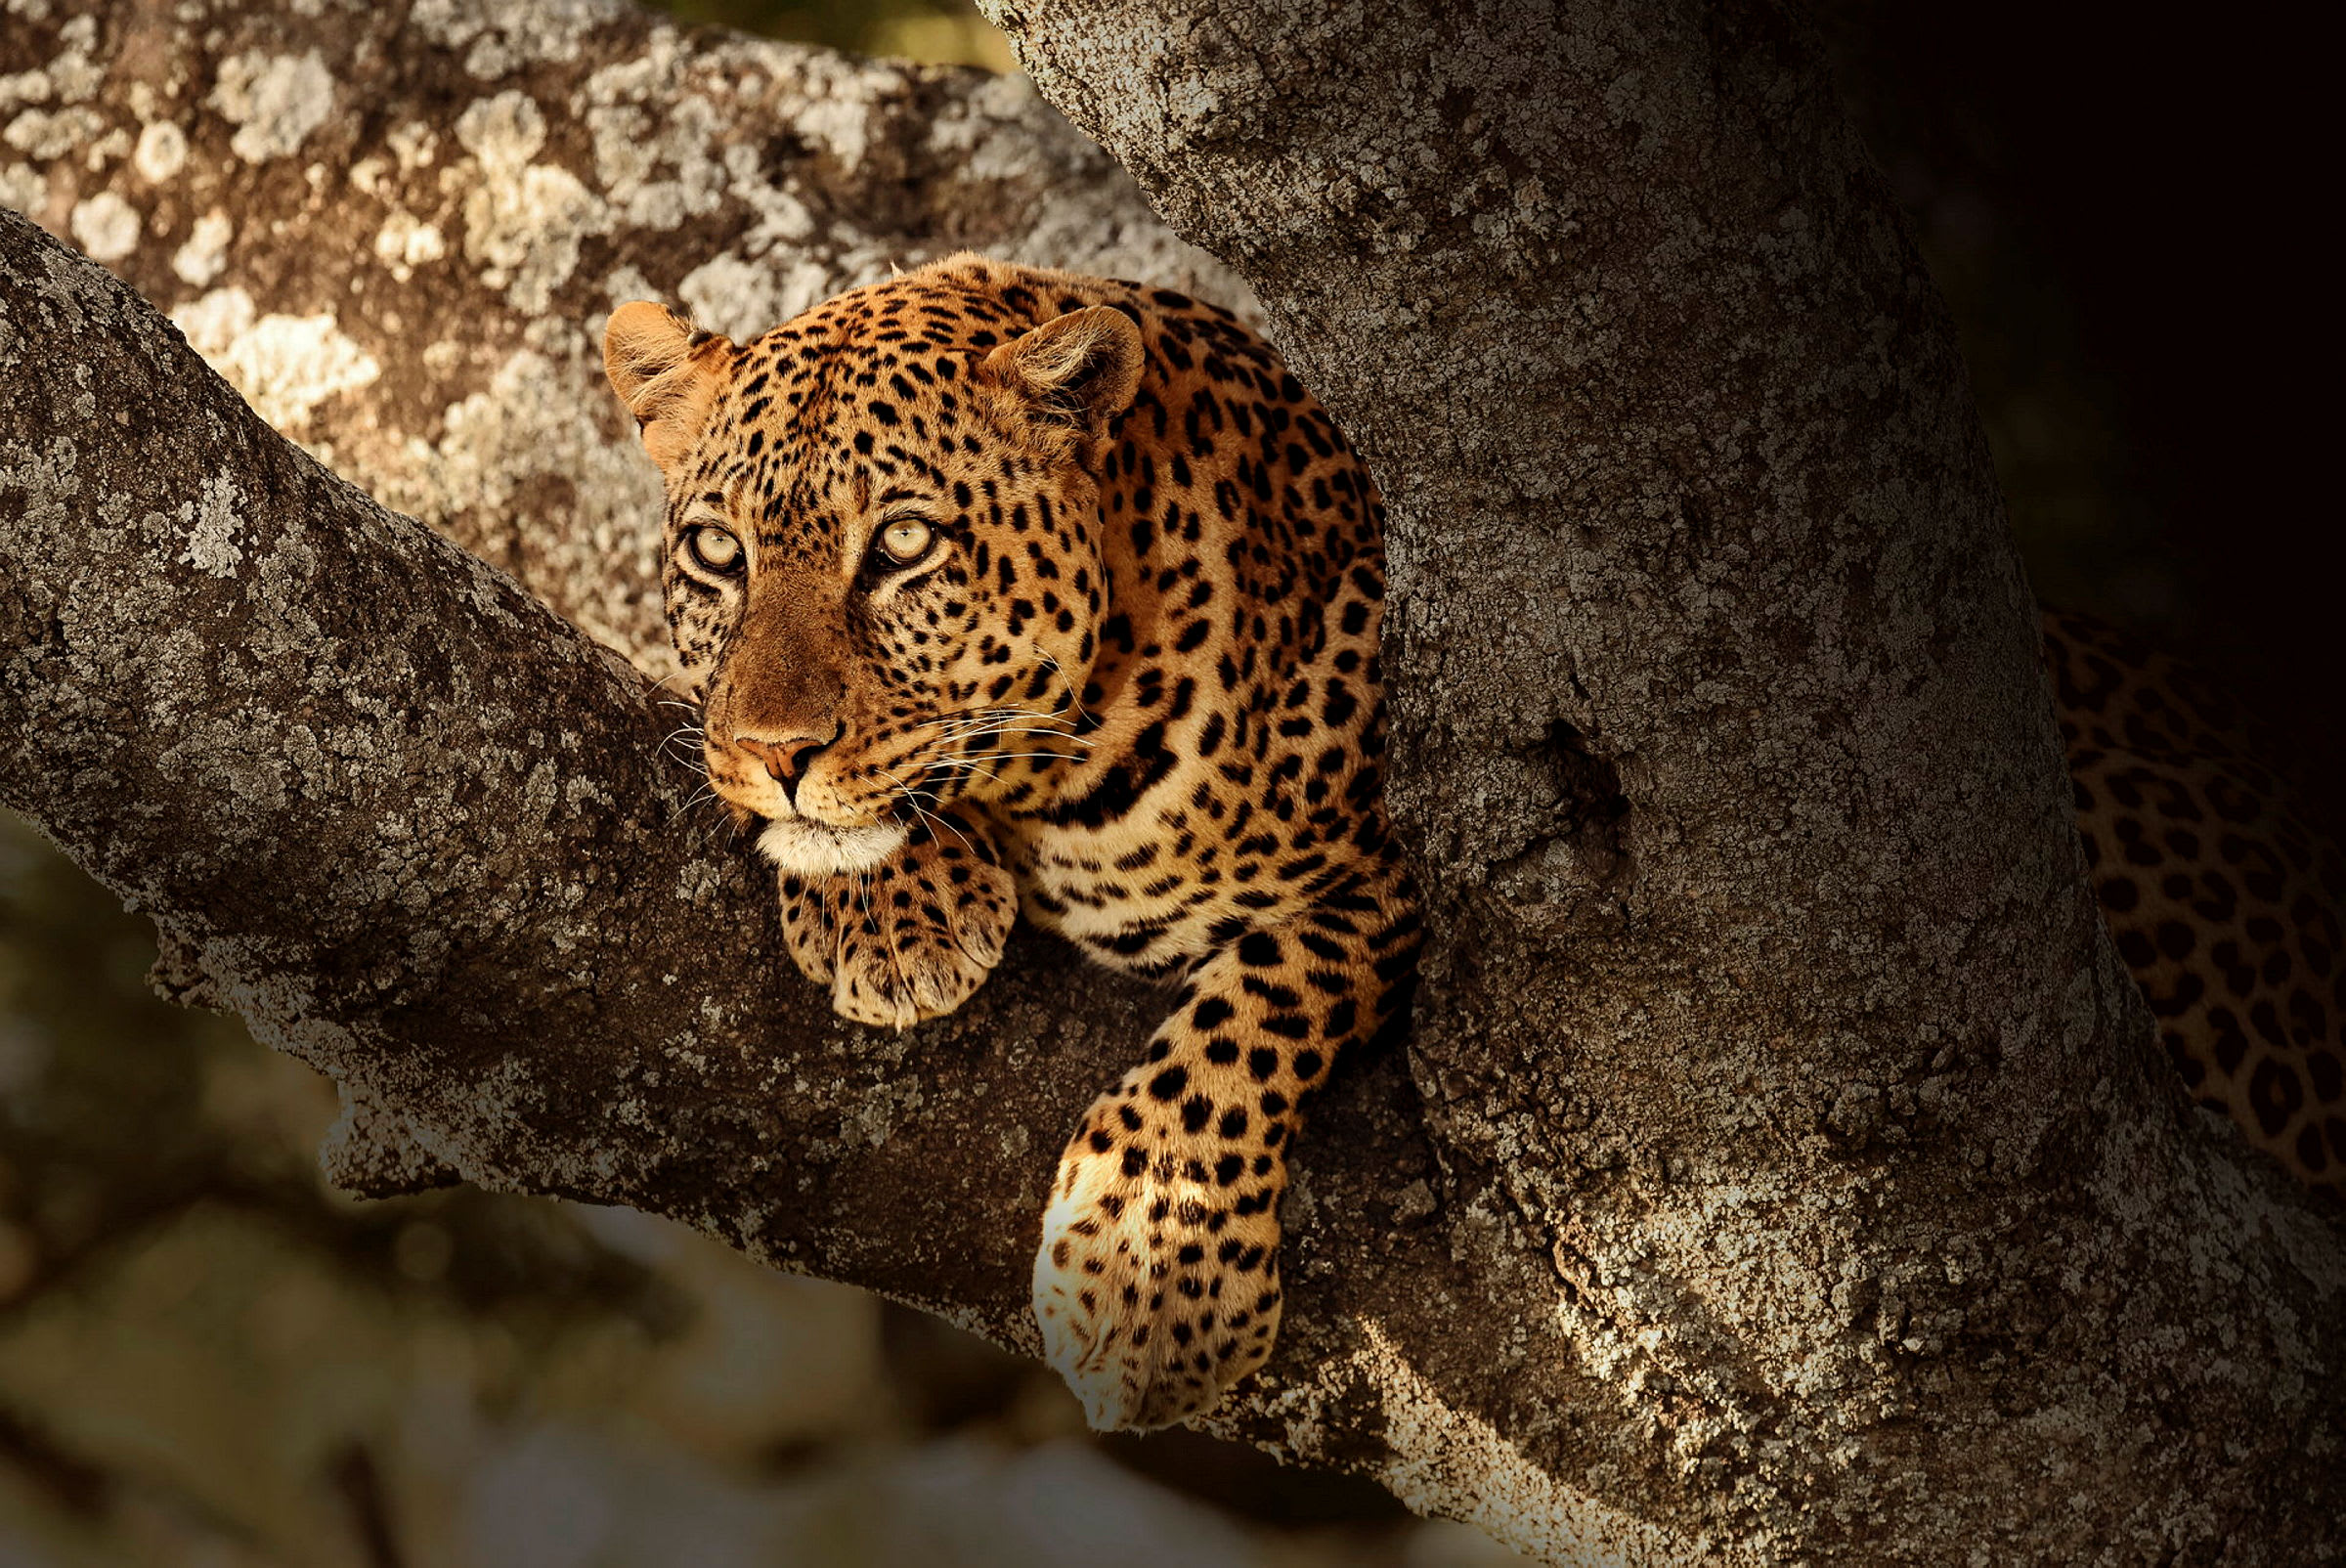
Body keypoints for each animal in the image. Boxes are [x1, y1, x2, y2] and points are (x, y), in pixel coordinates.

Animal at [602, 254, 1420, 1431]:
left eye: (904, 543)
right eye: (718, 550)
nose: (773, 749)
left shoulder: (1396, 869)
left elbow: (1268, 993)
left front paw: (1152, 1272)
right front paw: (893, 913)